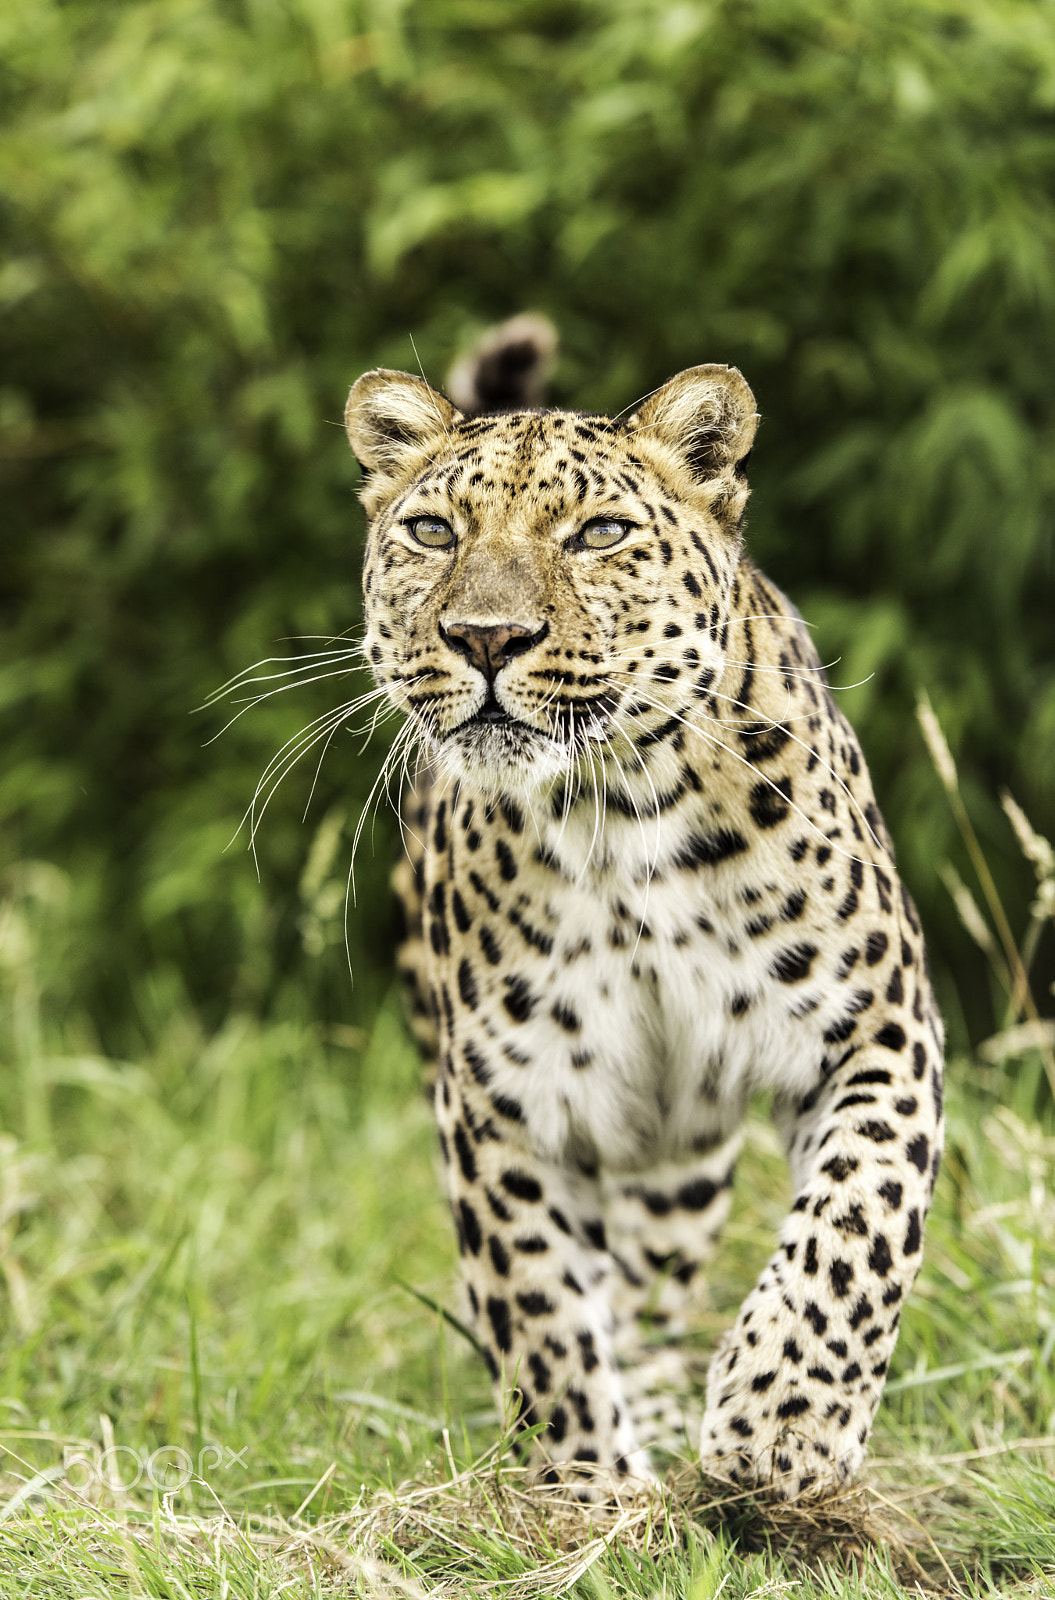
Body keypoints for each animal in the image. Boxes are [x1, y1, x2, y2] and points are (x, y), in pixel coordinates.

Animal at [343, 317, 944, 1500]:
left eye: (600, 534)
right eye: (432, 531)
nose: (486, 637)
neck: (616, 814)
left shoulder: (878, 1025)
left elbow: (855, 1222)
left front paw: (783, 1424)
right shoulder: (502, 1102)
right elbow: (539, 1311)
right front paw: (588, 1494)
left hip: (680, 1157)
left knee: (657, 1289)